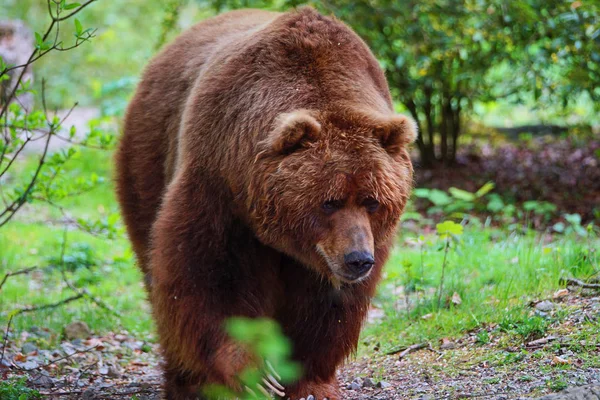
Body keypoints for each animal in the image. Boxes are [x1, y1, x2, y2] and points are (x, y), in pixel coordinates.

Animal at [116, 6, 418, 400]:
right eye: (330, 202)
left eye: (372, 201)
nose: (358, 260)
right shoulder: (220, 179)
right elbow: (208, 274)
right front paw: (254, 372)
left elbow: (326, 307)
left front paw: (308, 380)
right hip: (148, 156)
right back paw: (187, 382)